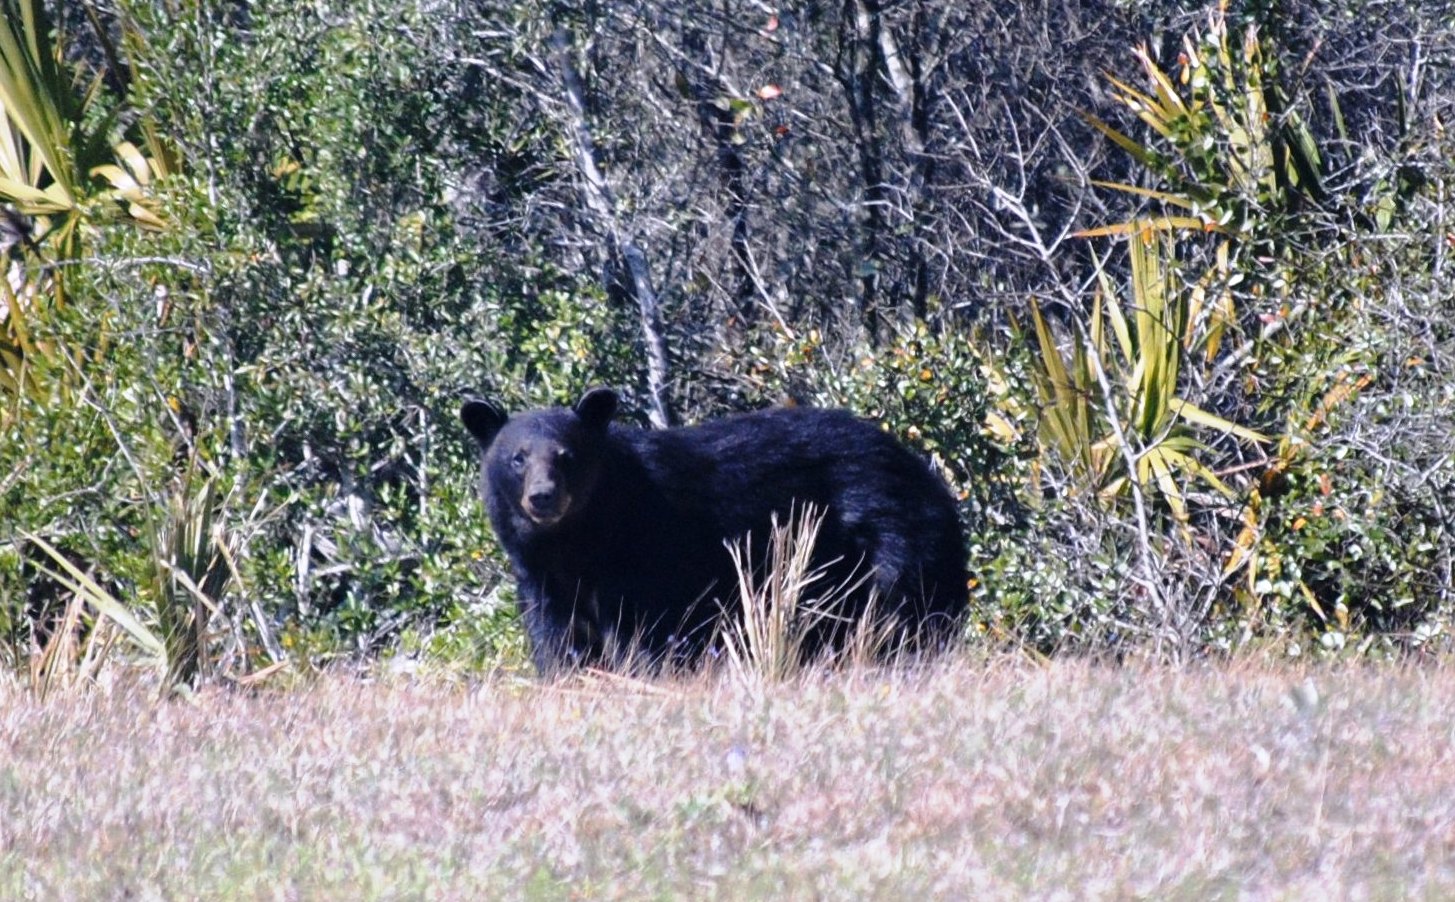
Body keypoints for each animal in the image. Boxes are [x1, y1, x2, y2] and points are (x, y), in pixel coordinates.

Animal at [460, 388, 968, 674]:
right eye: (517, 458)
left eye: (567, 455)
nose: (543, 497)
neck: (580, 540)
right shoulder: (542, 578)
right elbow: (557, 637)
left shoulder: (646, 556)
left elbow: (641, 632)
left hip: (892, 539)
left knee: (898, 609)